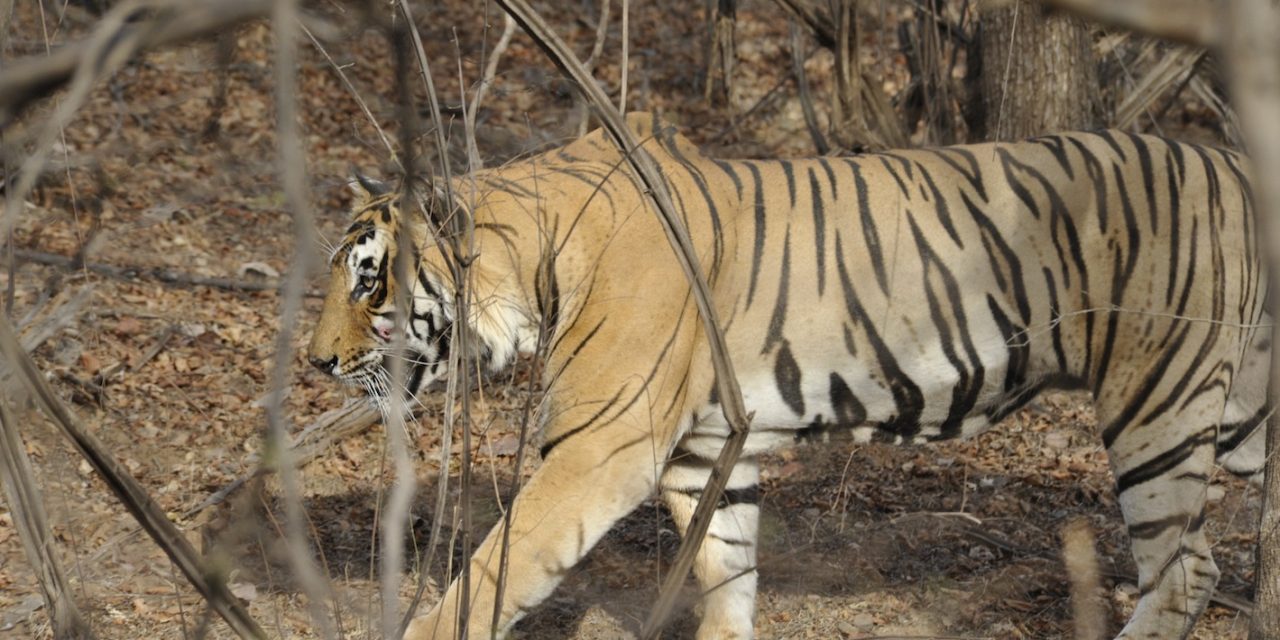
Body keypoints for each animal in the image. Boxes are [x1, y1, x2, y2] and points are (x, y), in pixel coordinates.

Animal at [307, 112, 1268, 639]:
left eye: (368, 280)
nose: (316, 361)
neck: (537, 260)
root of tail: (1238, 165)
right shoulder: (701, 455)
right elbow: (728, 577)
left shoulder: (599, 448)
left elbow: (492, 574)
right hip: (1241, 413)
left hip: (1158, 404)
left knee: (1186, 571)